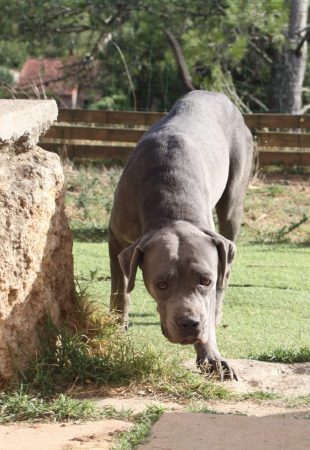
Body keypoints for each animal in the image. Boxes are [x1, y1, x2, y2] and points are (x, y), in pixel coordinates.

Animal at [108, 90, 253, 380]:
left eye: (205, 281)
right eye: (161, 284)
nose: (189, 323)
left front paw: (212, 357)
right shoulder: (116, 236)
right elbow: (120, 291)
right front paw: (118, 329)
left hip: (233, 202)